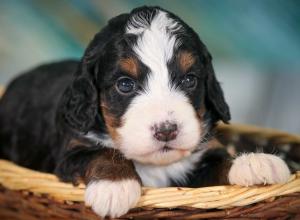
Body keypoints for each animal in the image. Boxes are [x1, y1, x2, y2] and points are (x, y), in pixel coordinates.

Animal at [0, 5, 290, 218]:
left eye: (189, 80)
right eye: (125, 84)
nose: (166, 131)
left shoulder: (199, 162)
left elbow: (220, 164)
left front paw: (254, 163)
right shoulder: (71, 151)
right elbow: (102, 153)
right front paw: (114, 186)